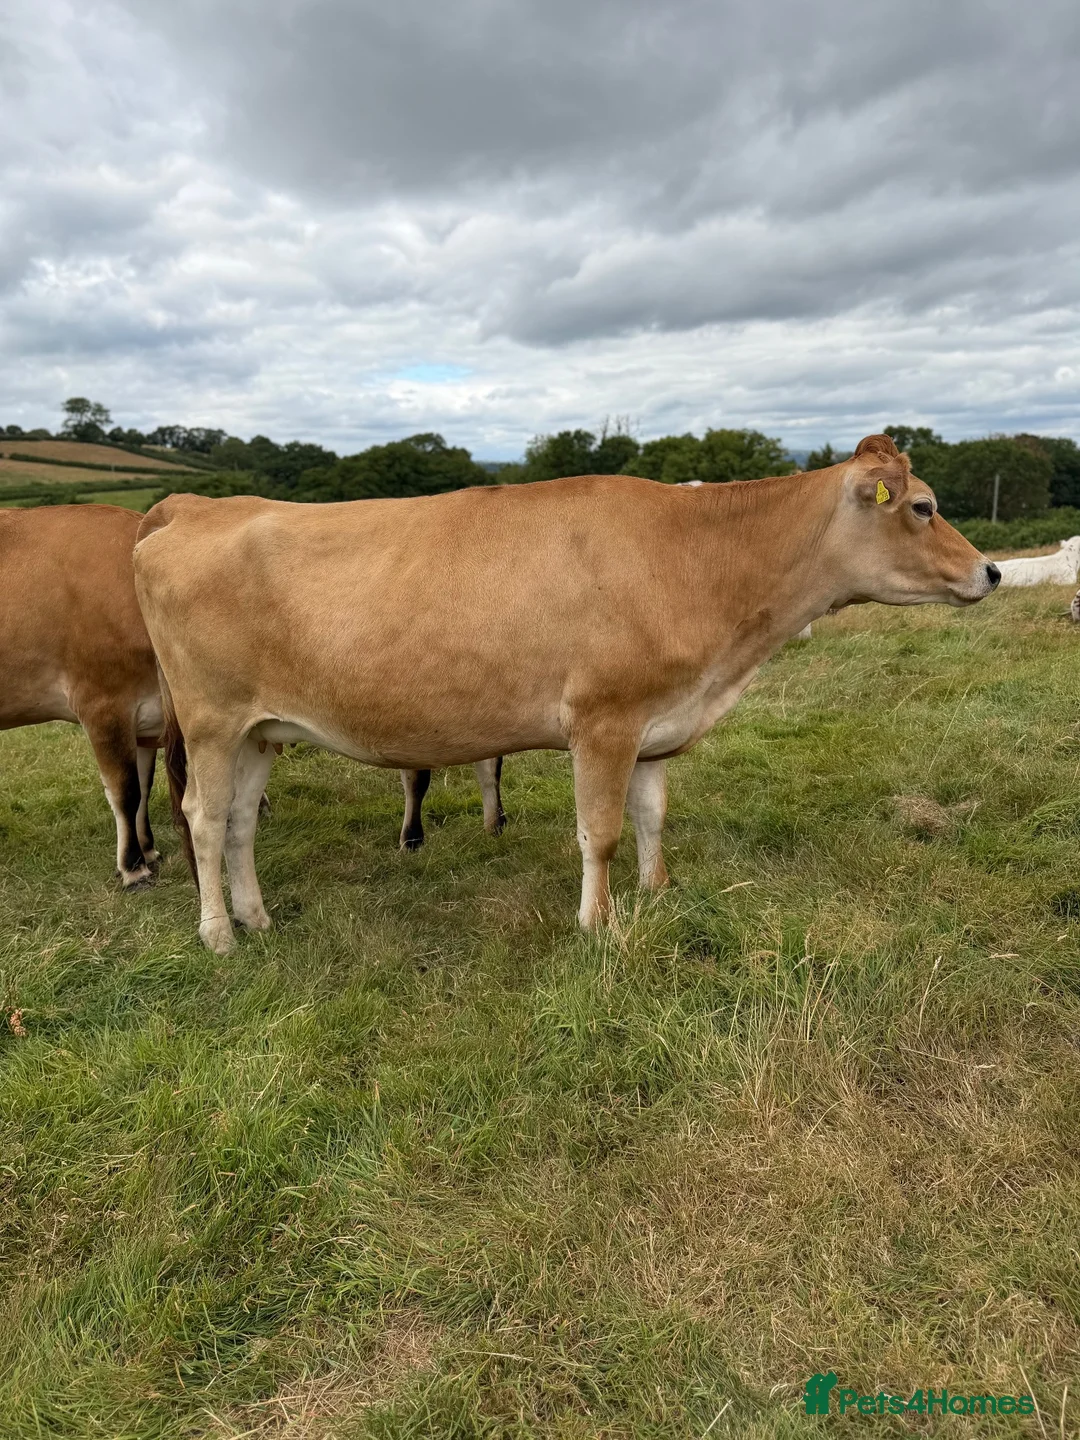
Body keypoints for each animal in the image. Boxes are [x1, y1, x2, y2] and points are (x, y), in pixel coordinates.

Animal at [0, 504, 163, 886]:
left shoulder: (145, 717)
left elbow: (145, 786)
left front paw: (148, 849)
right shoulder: (103, 705)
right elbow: (126, 791)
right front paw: (134, 867)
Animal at [132, 435, 1000, 954]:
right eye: (922, 506)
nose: (991, 570)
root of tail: (193, 509)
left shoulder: (655, 724)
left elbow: (651, 817)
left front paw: (656, 893)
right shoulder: (604, 721)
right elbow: (601, 832)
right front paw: (600, 924)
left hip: (261, 728)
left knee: (240, 822)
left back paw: (257, 915)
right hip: (211, 720)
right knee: (203, 818)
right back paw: (219, 935)